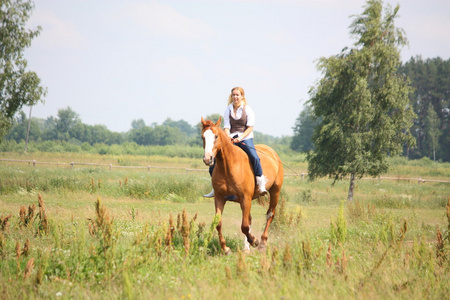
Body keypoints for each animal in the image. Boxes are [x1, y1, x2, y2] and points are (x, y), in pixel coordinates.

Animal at [202, 116, 284, 253]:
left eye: (216, 136)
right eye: (203, 137)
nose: (208, 159)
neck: (228, 166)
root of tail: (273, 153)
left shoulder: (246, 198)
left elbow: (244, 226)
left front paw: (255, 241)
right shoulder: (220, 198)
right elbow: (218, 223)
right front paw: (226, 248)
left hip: (275, 192)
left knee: (269, 215)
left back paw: (262, 243)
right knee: (250, 219)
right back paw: (246, 247)